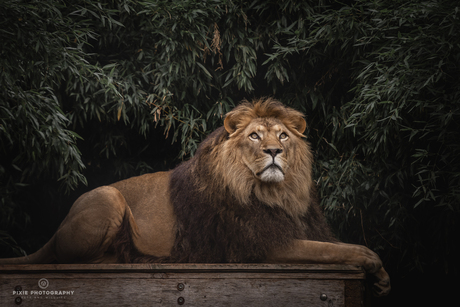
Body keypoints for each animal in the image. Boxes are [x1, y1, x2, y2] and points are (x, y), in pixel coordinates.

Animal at [0, 98, 390, 296]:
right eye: (254, 136)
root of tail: (57, 229)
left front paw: (381, 275)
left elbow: (335, 245)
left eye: (283, 135)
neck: (275, 192)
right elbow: (336, 250)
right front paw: (373, 263)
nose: (274, 151)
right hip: (109, 197)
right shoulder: (260, 245)